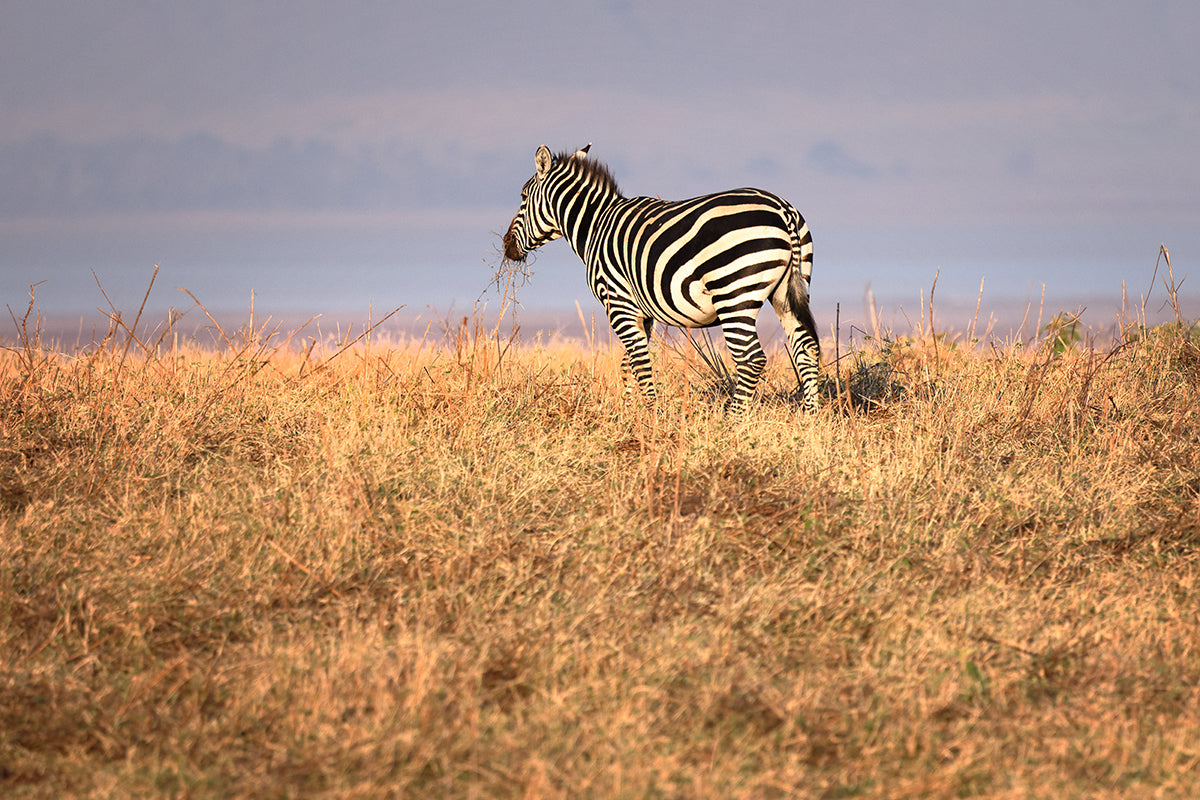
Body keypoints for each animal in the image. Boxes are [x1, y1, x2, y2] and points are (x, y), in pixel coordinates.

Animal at [503, 144, 820, 415]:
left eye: (522, 197)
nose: (506, 245)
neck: (595, 225)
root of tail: (782, 210)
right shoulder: (642, 312)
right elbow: (628, 363)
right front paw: (628, 413)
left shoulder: (618, 302)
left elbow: (640, 361)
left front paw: (651, 415)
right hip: (787, 291)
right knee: (806, 348)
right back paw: (810, 417)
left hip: (734, 295)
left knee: (752, 358)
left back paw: (733, 419)